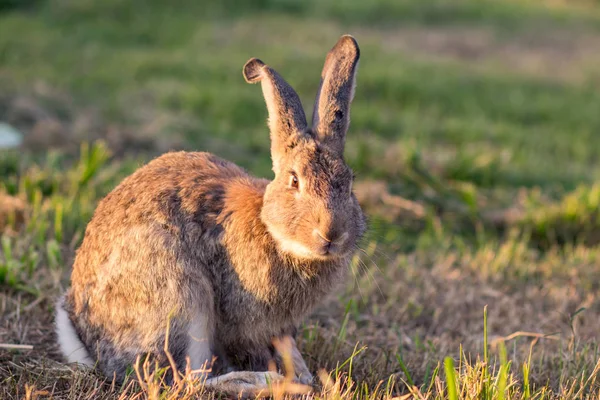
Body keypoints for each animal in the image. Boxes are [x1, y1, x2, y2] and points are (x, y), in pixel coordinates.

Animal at [56, 35, 366, 396]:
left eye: (350, 182)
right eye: (294, 181)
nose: (331, 234)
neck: (273, 233)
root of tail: (90, 344)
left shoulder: (281, 328)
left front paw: (305, 373)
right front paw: (295, 379)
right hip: (180, 298)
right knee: (186, 382)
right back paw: (266, 383)